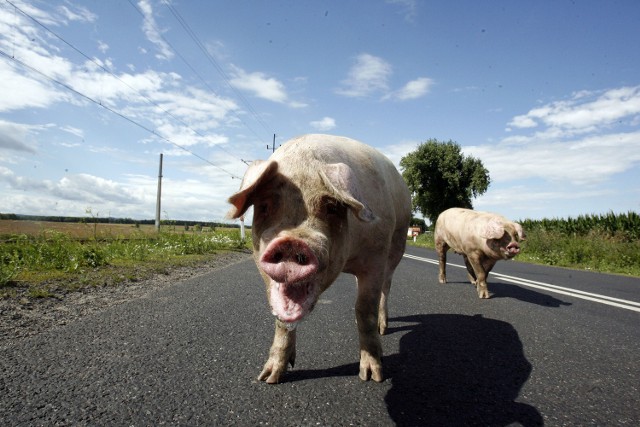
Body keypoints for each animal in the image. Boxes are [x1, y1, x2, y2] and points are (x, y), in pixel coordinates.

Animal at [228, 134, 412, 384]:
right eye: (264, 206)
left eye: (332, 207)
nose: (291, 241)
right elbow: (281, 323)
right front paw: (268, 378)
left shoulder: (376, 254)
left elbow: (365, 309)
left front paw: (372, 376)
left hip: (398, 244)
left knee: (386, 288)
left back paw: (383, 329)